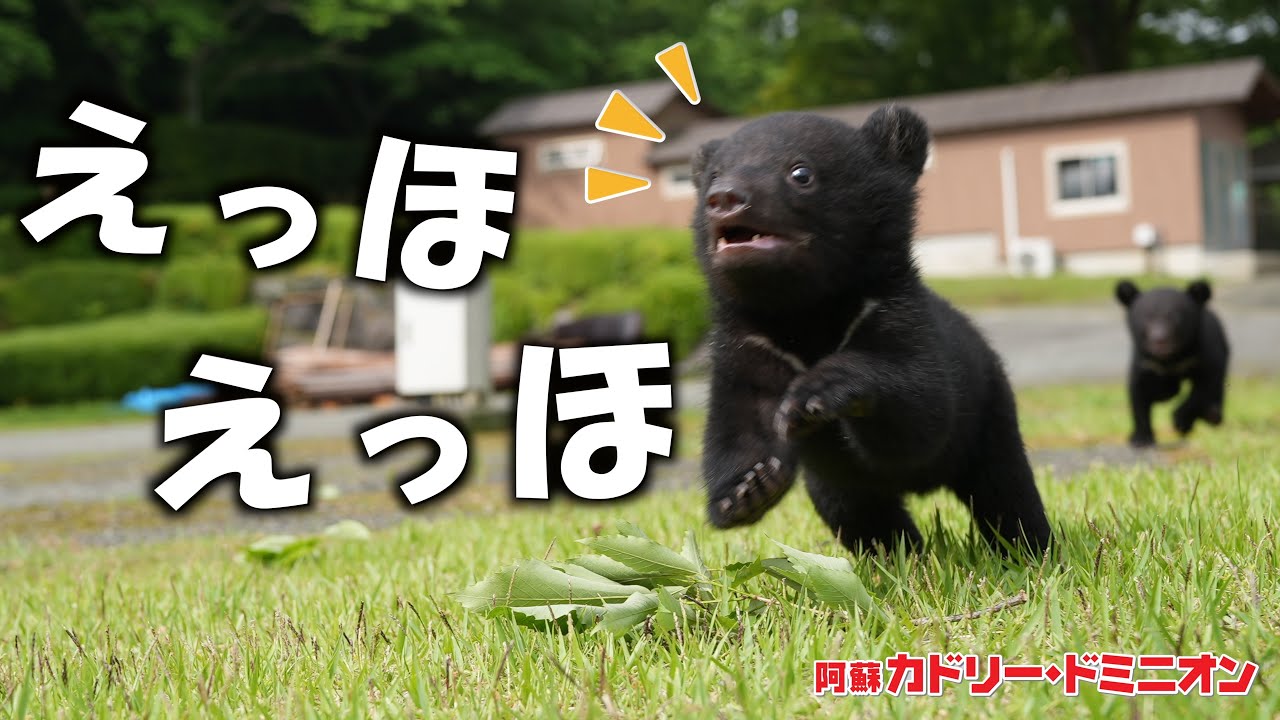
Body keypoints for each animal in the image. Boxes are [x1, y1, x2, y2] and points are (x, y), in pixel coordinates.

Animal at [689, 106, 1053, 558]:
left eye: (800, 172)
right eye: (715, 174)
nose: (724, 198)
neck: (804, 315)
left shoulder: (894, 315)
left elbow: (922, 405)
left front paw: (815, 393)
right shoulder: (749, 349)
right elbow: (739, 424)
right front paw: (747, 489)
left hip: (989, 413)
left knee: (1005, 490)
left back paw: (1029, 550)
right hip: (838, 484)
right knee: (861, 515)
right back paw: (901, 555)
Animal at [1114, 279, 1229, 448]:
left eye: (1174, 317)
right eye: (1147, 317)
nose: (1160, 340)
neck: (1171, 358)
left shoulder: (1205, 351)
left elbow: (1204, 385)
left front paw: (1180, 420)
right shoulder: (1145, 361)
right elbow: (1139, 393)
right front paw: (1141, 439)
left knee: (1215, 390)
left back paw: (1212, 415)